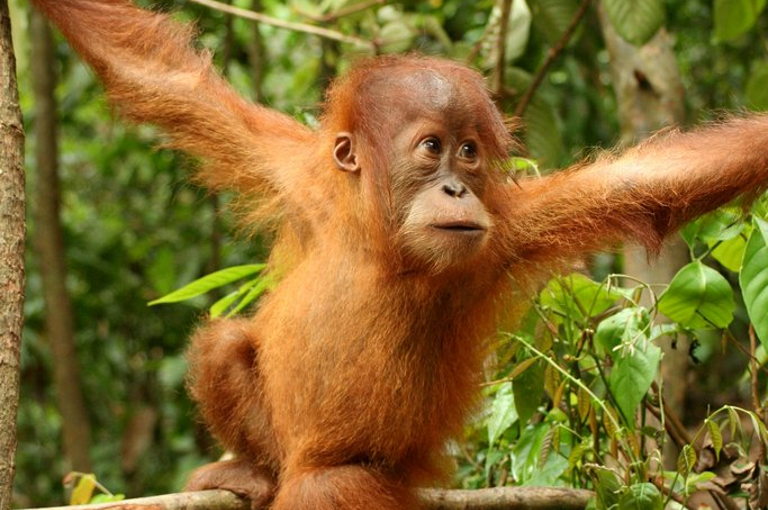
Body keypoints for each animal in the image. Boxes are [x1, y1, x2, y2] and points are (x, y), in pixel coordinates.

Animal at [31, 0, 768, 508]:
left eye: (469, 152)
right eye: (431, 147)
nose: (456, 187)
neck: (376, 238)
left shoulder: (509, 229)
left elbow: (646, 183)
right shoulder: (296, 175)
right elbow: (166, 79)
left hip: (376, 479)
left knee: (327, 488)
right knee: (223, 345)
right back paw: (253, 472)